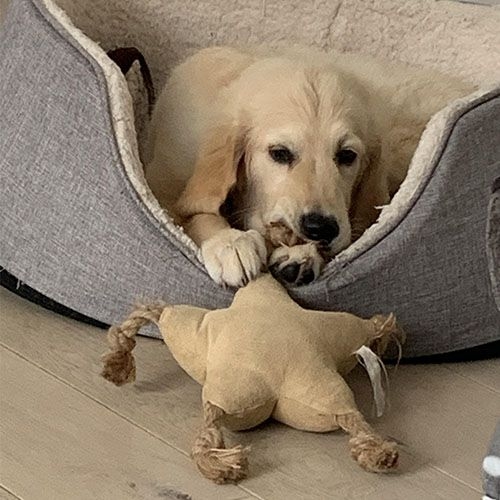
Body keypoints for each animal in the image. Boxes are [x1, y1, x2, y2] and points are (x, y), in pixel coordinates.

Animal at [146, 47, 474, 290]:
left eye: (347, 155)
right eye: (279, 153)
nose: (321, 228)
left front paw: (299, 254)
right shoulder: (163, 182)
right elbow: (195, 213)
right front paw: (231, 243)